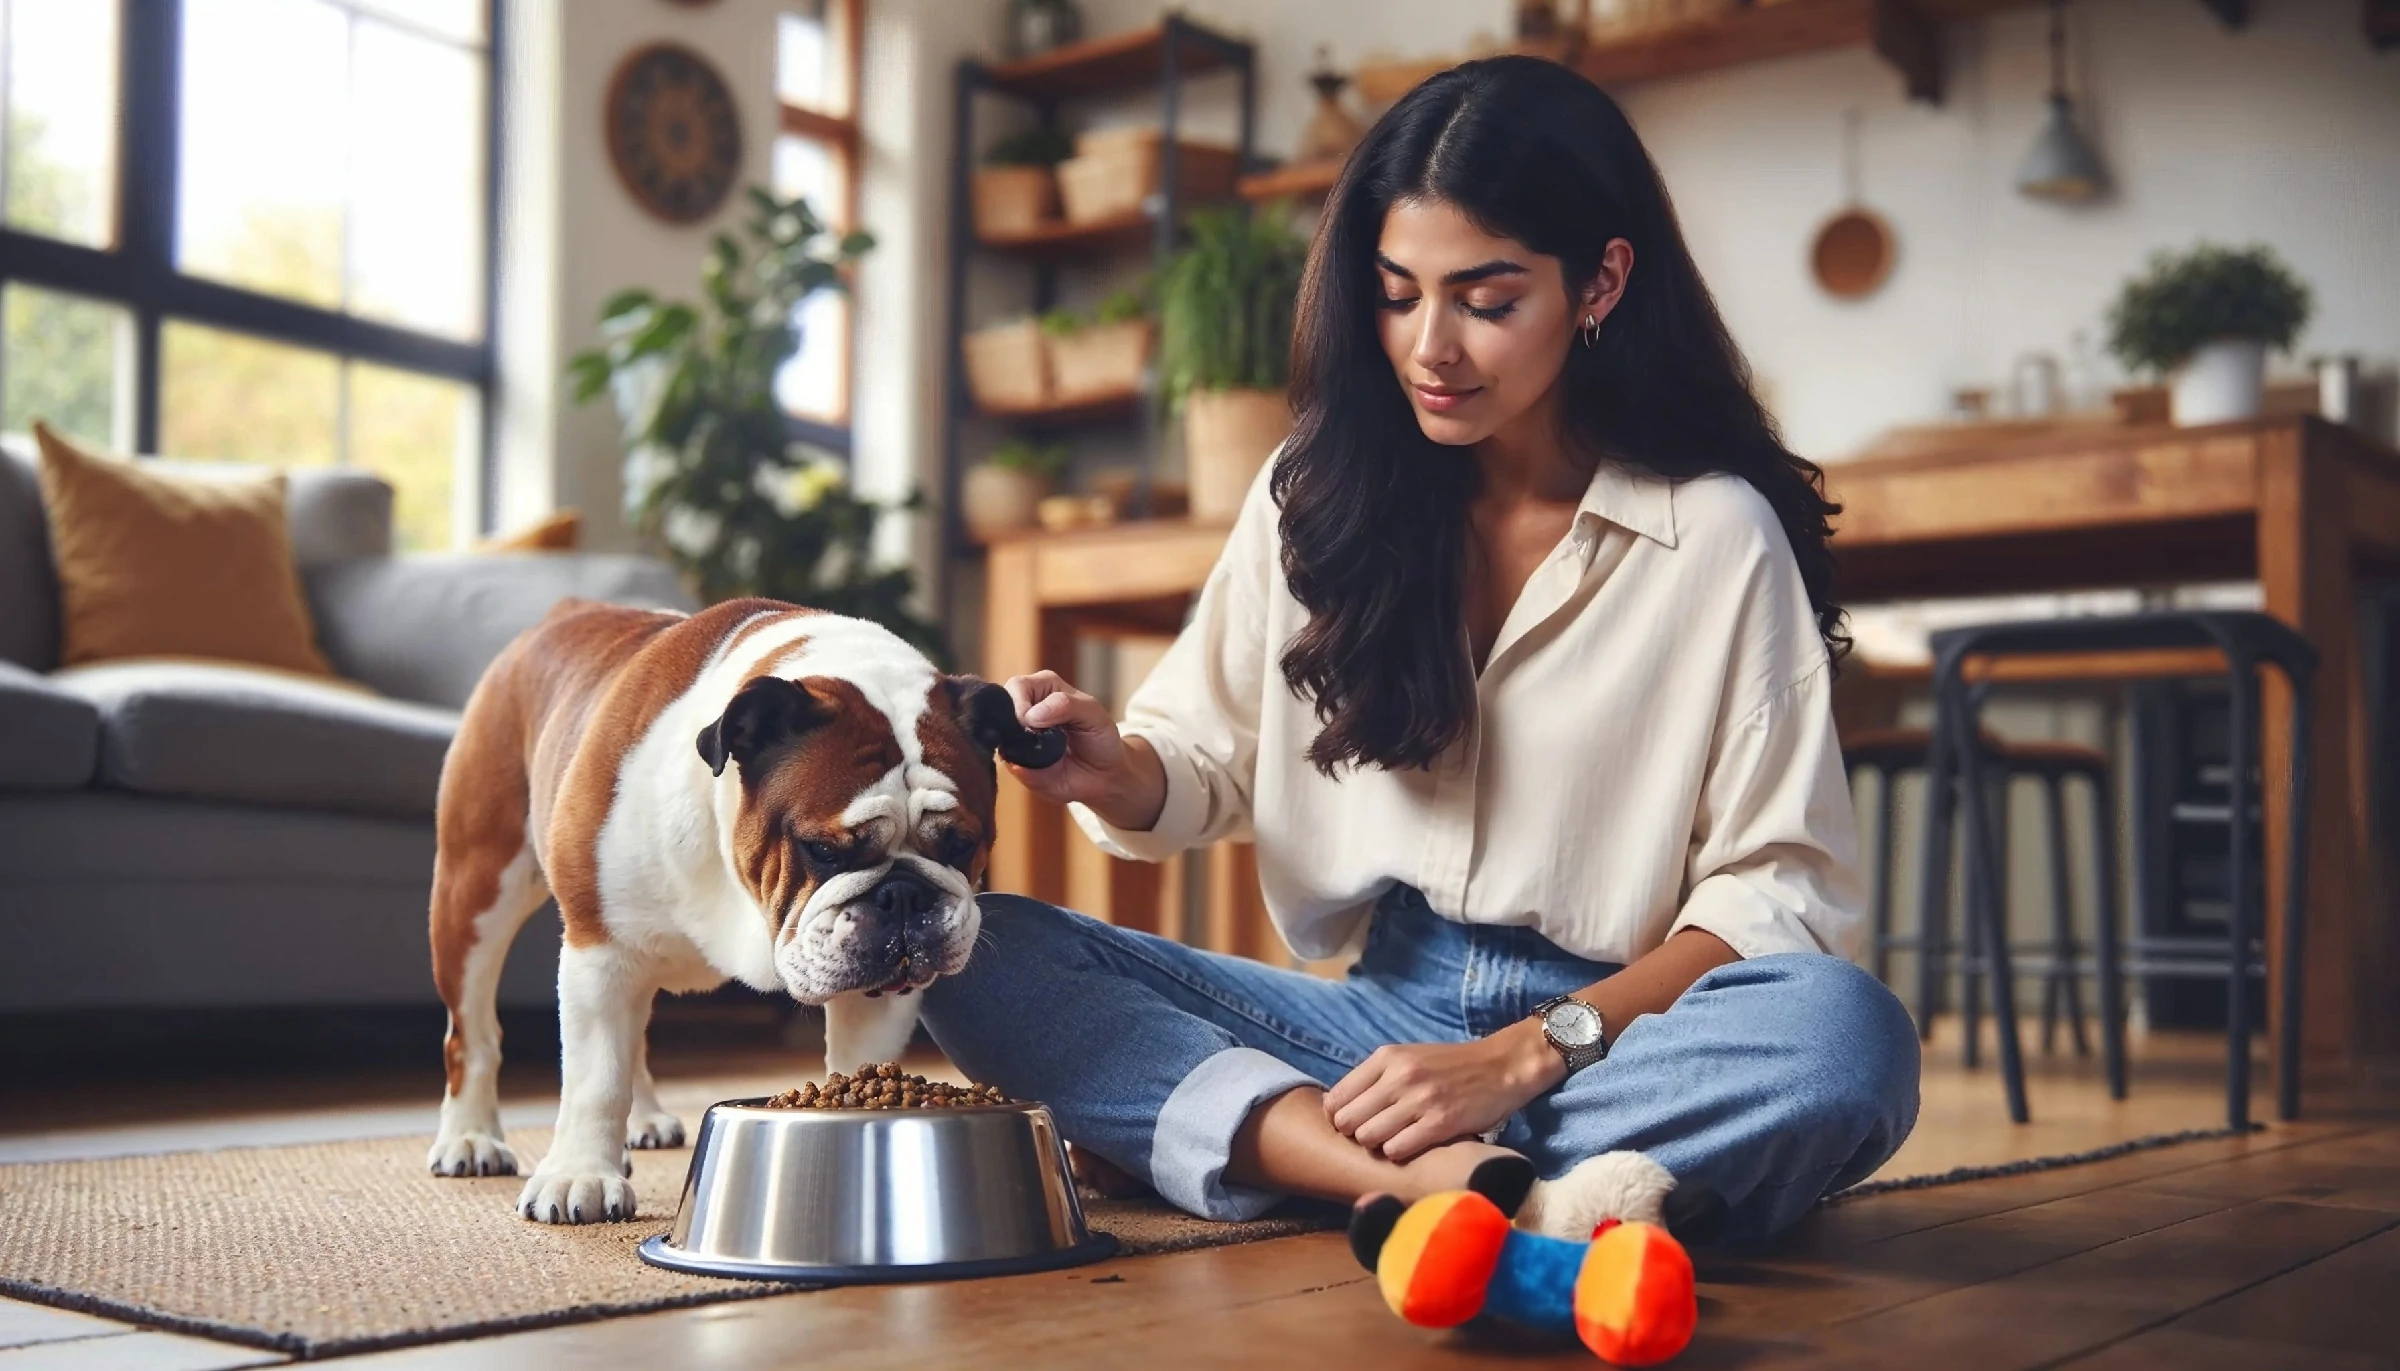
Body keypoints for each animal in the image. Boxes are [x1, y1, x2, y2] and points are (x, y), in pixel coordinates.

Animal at [424, 597, 1060, 1224]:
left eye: (961, 845)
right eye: (822, 849)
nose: (902, 894)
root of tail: (561, 612)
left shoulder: (875, 989)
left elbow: (861, 1057)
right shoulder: (600, 947)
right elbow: (595, 1076)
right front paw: (580, 1174)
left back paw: (643, 1120)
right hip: (475, 892)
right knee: (473, 1034)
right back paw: (471, 1139)